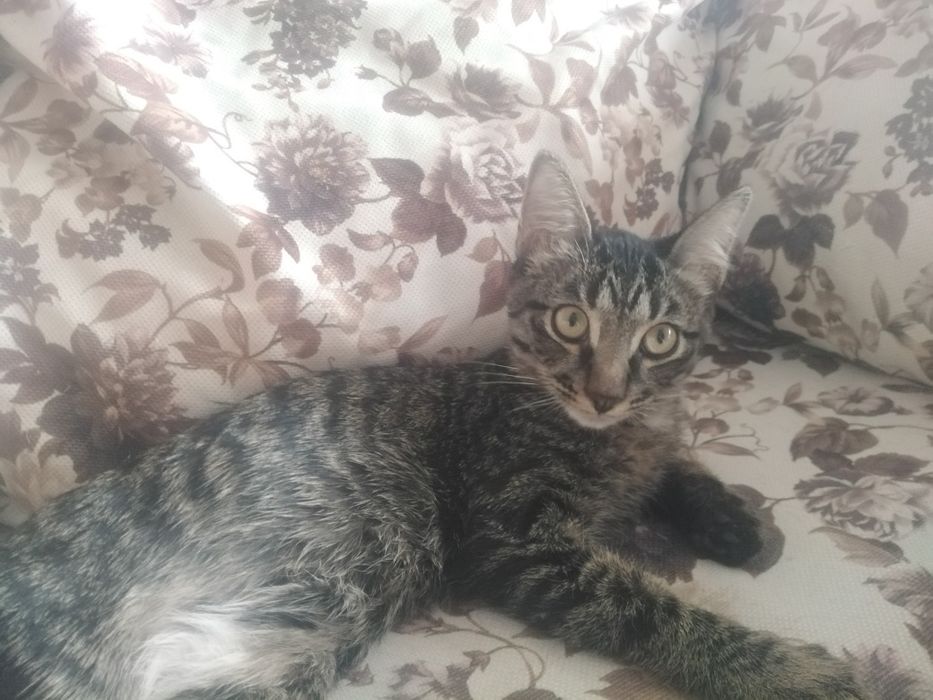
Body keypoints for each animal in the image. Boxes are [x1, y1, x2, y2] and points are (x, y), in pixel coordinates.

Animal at [0, 151, 866, 700]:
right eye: (570, 321)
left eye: (658, 338)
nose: (604, 392)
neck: (600, 433)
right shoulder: (520, 540)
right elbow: (653, 610)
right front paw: (799, 673)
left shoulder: (644, 438)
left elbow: (676, 464)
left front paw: (734, 522)